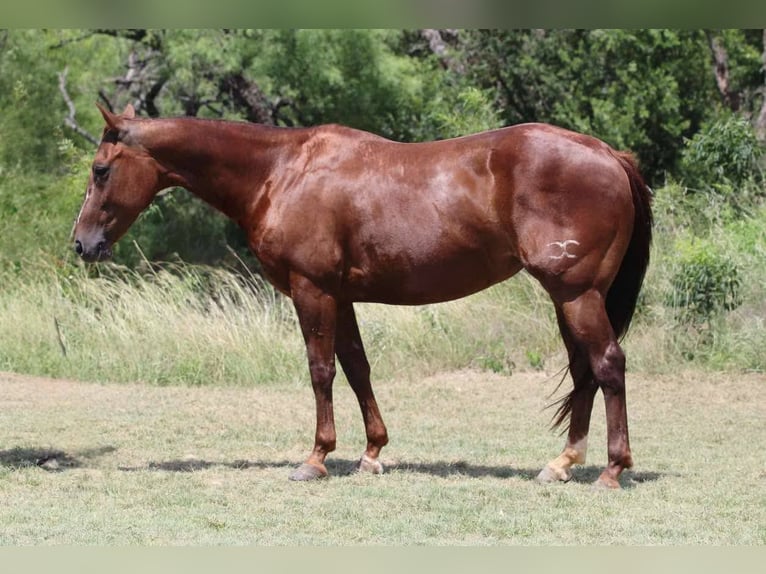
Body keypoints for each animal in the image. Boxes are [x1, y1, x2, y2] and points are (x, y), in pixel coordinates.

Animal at [73, 103, 652, 489]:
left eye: (101, 170)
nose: (82, 244)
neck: (281, 171)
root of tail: (607, 153)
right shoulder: (341, 295)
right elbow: (357, 366)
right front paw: (372, 452)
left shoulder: (311, 290)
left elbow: (321, 370)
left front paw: (316, 458)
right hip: (569, 298)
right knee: (583, 371)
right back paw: (561, 463)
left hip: (576, 294)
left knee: (607, 364)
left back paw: (612, 469)